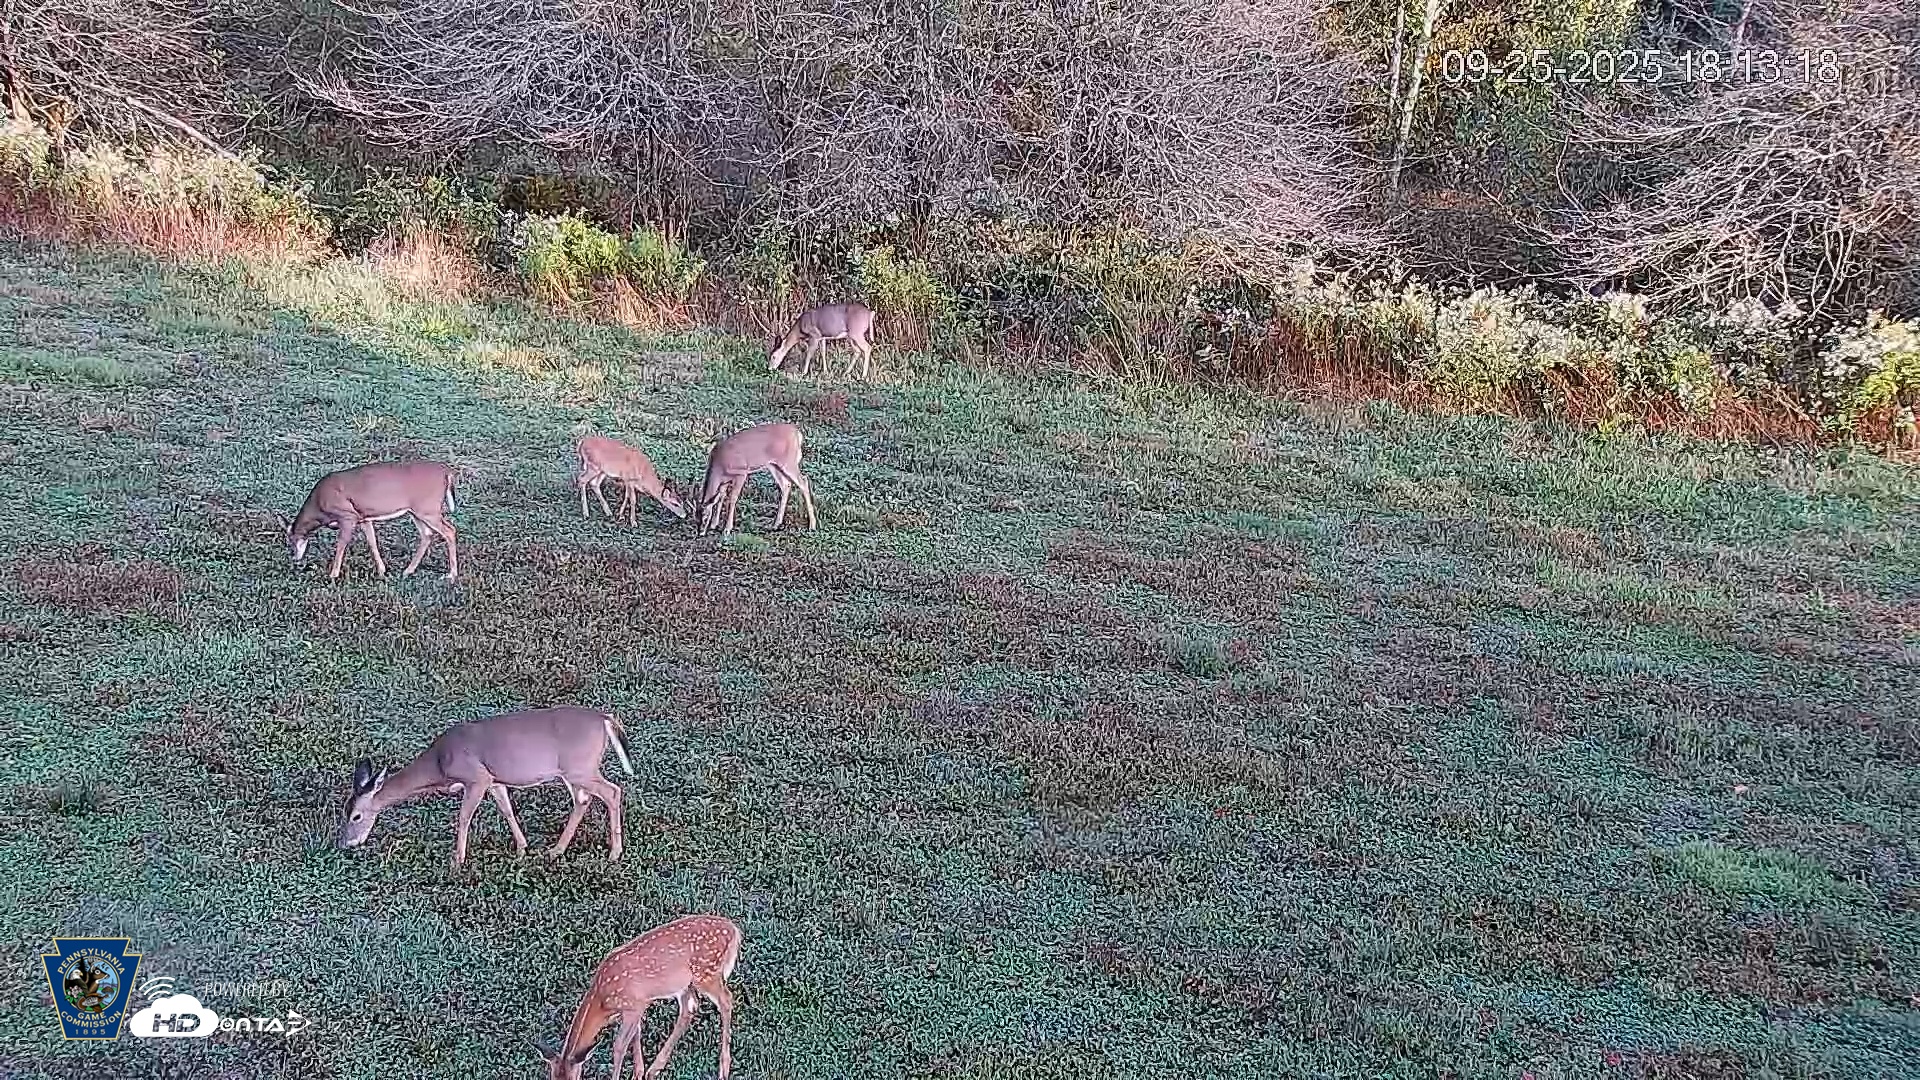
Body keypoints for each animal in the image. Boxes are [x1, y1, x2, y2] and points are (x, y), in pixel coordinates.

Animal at [278, 461, 459, 582]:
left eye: (290, 540)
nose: (295, 558)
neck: (319, 507)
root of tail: (447, 473)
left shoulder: (348, 516)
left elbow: (341, 544)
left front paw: (333, 574)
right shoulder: (363, 517)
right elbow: (372, 542)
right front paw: (382, 570)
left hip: (428, 509)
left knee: (449, 531)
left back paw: (452, 574)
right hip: (417, 511)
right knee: (427, 534)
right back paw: (408, 571)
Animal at [336, 706, 634, 866]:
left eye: (356, 816)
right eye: (343, 812)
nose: (347, 843)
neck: (440, 763)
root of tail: (605, 718)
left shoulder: (476, 778)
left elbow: (463, 818)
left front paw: (457, 860)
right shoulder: (494, 780)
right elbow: (507, 810)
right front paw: (522, 847)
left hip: (580, 768)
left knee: (612, 791)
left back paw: (615, 853)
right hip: (573, 773)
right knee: (583, 799)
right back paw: (556, 850)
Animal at [542, 915, 741, 1080]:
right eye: (552, 1078)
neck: (602, 999)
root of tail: (734, 931)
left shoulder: (634, 1004)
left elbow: (619, 1046)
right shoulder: (636, 1007)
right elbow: (635, 1036)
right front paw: (639, 1073)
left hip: (707, 973)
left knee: (726, 1000)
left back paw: (723, 1070)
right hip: (685, 984)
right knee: (690, 1007)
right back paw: (654, 1069)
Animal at [689, 422, 817, 541]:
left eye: (705, 516)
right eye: (695, 517)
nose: (700, 532)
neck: (719, 467)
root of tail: (798, 433)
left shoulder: (741, 472)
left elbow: (732, 499)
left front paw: (727, 529)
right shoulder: (724, 481)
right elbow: (720, 497)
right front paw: (714, 524)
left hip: (788, 462)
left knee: (803, 482)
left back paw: (812, 525)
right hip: (773, 465)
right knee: (786, 485)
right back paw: (776, 524)